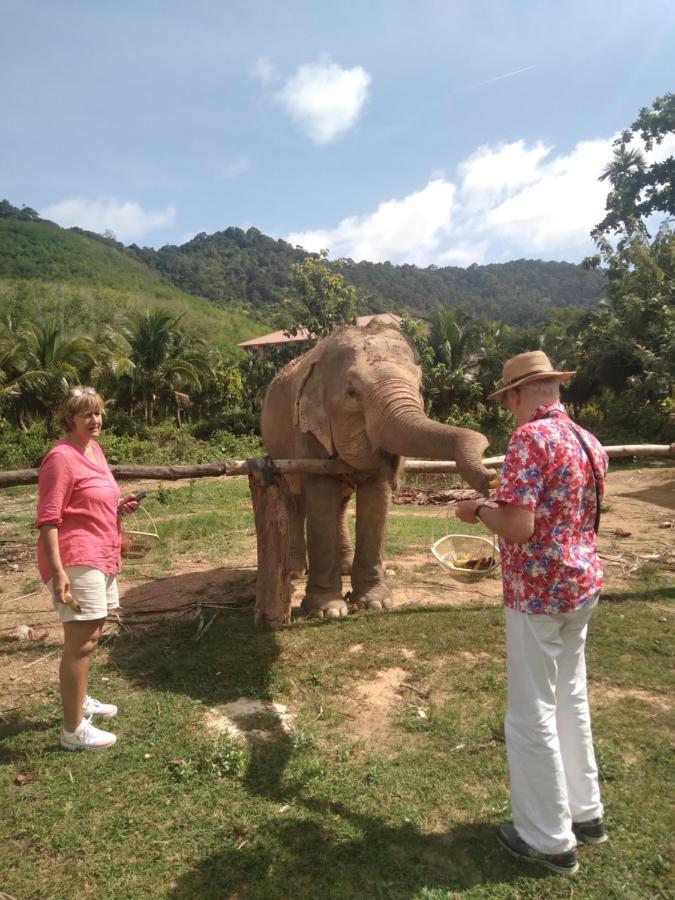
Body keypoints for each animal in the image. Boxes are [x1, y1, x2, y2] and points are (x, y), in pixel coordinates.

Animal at [260, 324, 492, 620]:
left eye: (420, 387)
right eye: (351, 392)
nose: (489, 477)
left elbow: (375, 497)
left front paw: (375, 605)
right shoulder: (307, 433)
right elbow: (320, 495)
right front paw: (328, 611)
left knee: (340, 505)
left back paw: (344, 566)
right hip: (277, 449)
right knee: (296, 501)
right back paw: (294, 571)